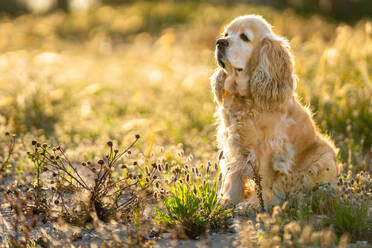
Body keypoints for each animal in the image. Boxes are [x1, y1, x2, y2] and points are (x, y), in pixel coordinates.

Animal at [211, 14, 338, 209]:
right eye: (226, 34)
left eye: (244, 37)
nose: (220, 42)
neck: (246, 100)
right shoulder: (235, 143)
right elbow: (235, 175)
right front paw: (227, 200)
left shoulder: (269, 147)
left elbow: (264, 179)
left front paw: (255, 205)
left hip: (324, 160)